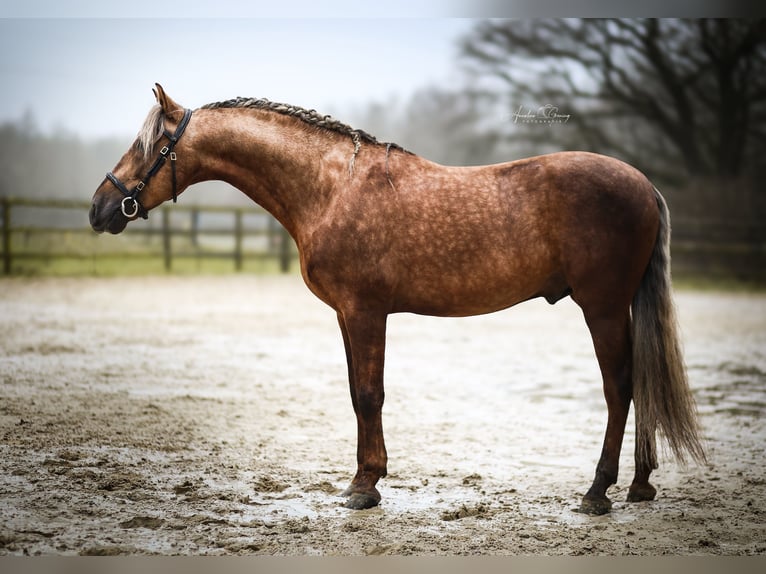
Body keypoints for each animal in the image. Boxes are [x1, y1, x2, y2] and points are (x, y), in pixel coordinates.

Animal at [90, 83, 708, 516]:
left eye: (151, 145)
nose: (100, 208)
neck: (331, 188)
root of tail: (643, 184)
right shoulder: (347, 315)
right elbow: (357, 393)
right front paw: (367, 478)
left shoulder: (366, 312)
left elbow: (369, 394)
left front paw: (363, 488)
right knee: (641, 382)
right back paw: (641, 485)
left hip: (601, 308)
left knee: (621, 387)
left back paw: (598, 491)